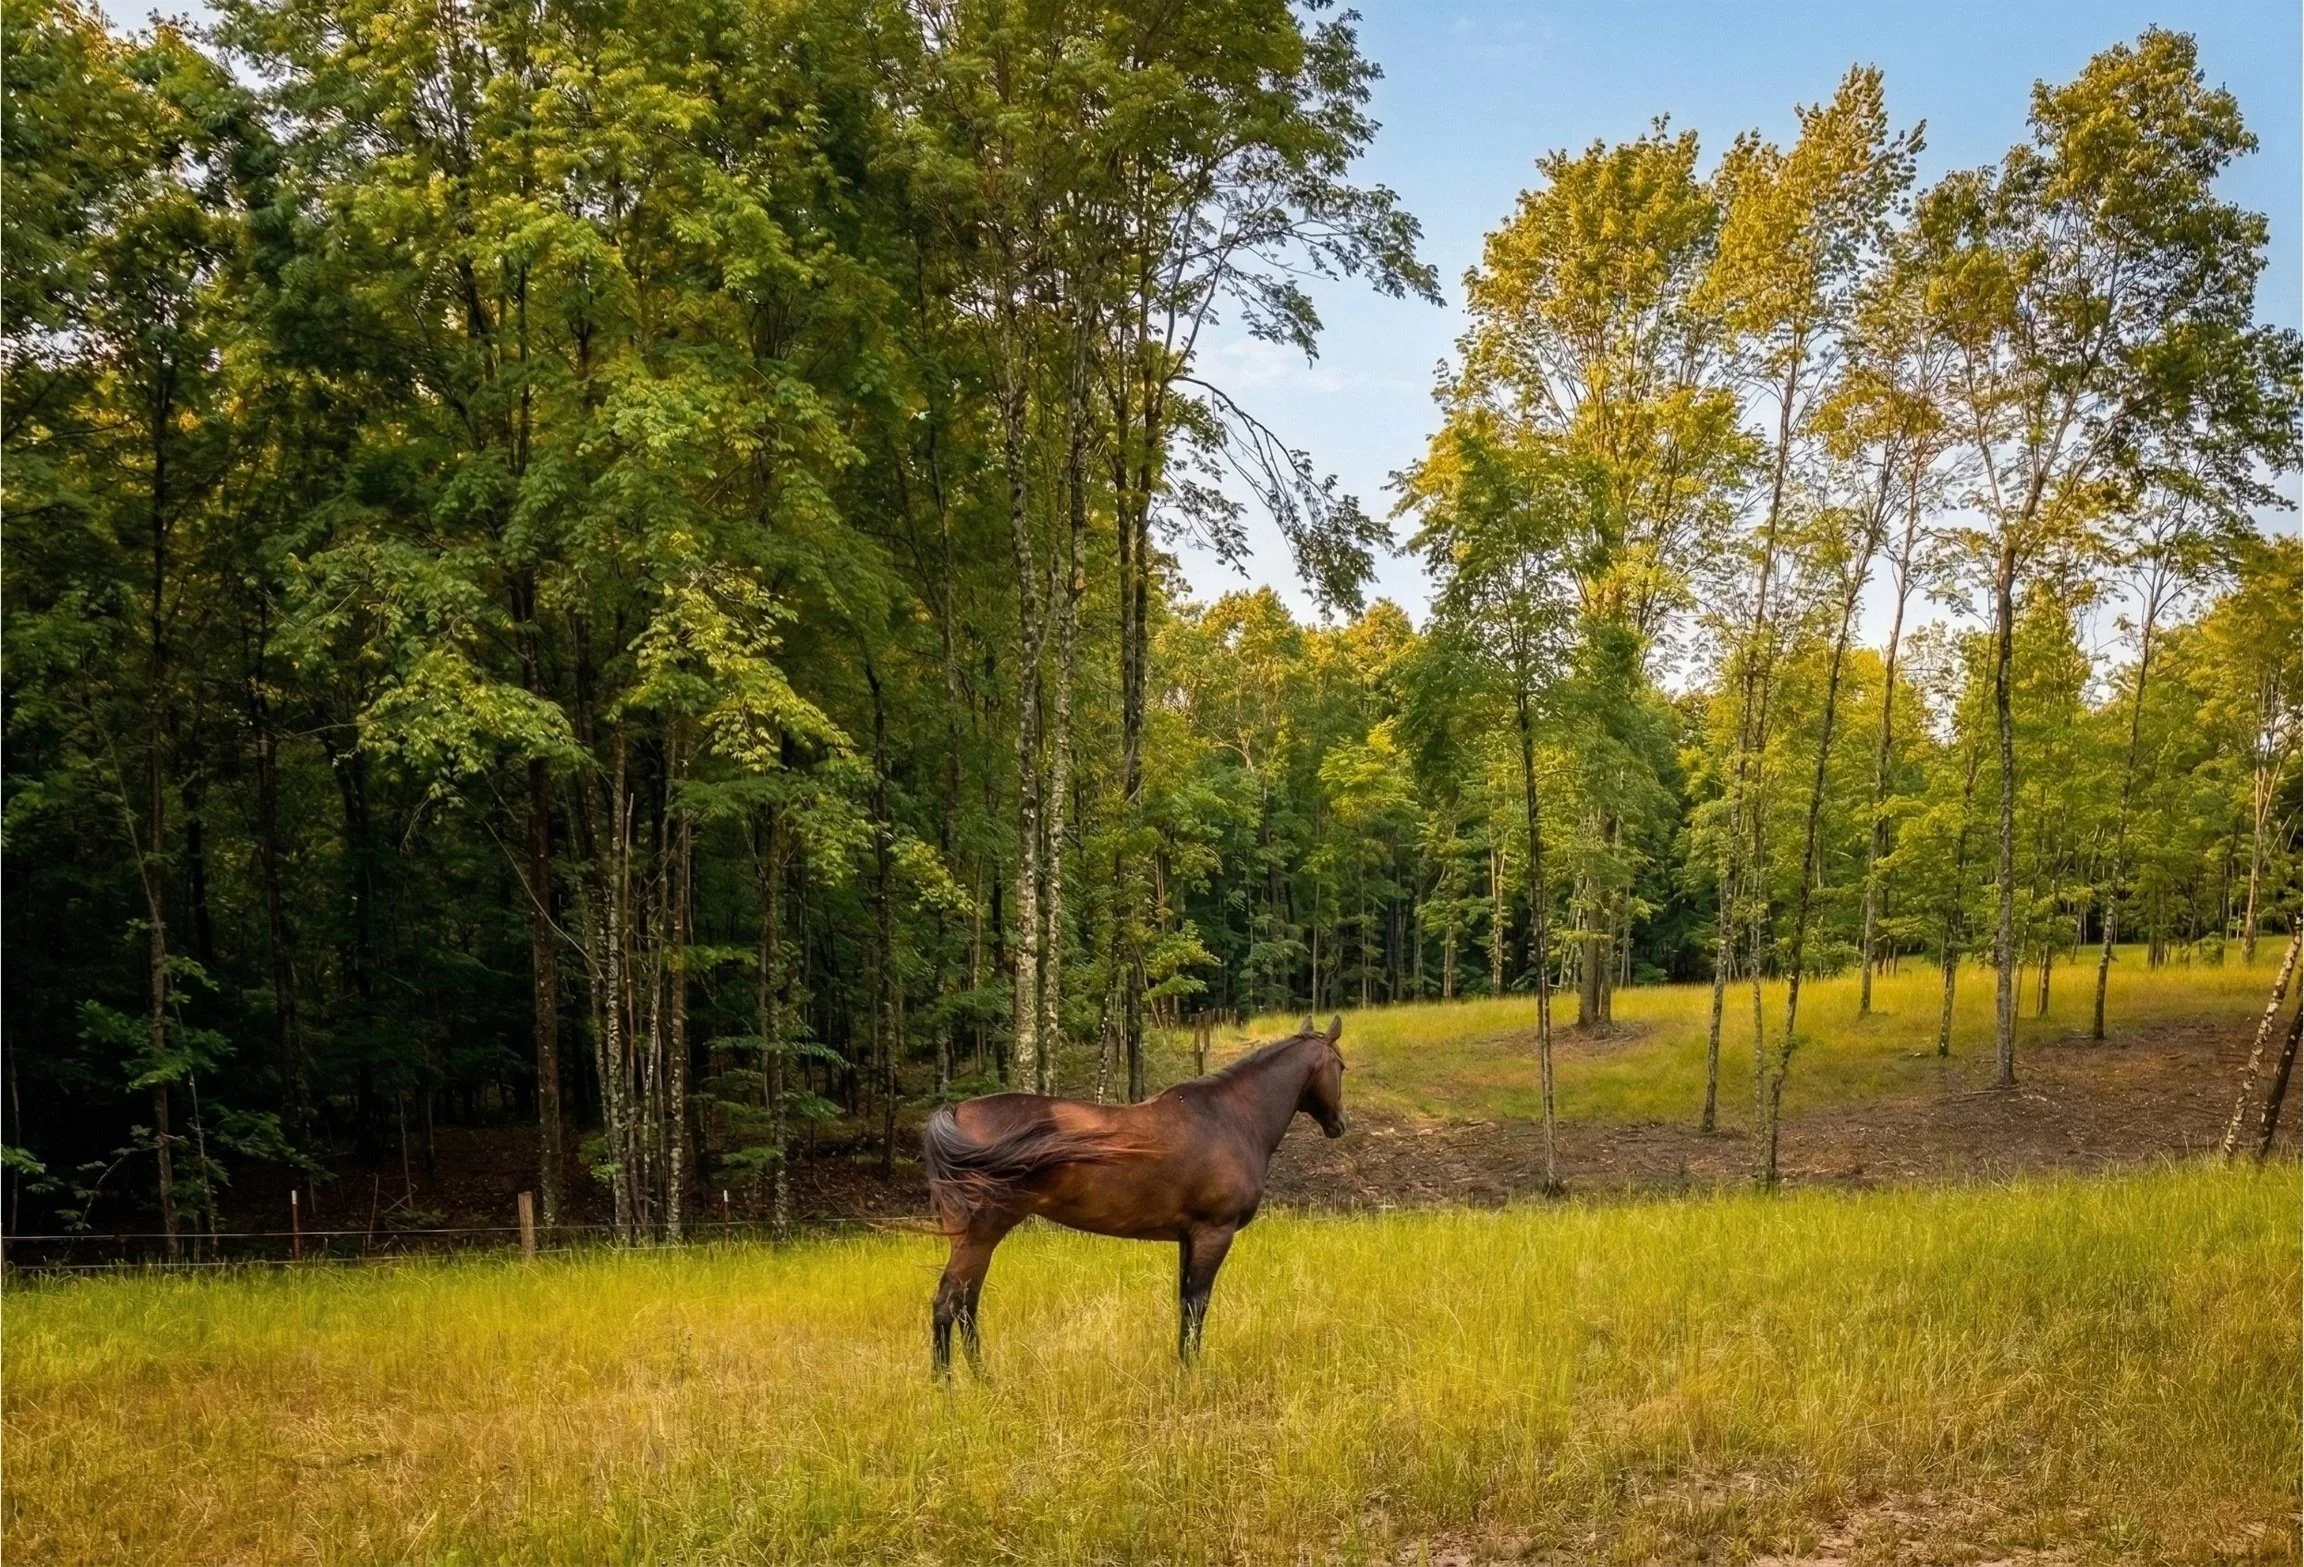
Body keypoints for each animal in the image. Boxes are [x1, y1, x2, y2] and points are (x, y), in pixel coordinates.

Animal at [920, 1014, 1348, 1376]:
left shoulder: (1188, 1237)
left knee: (966, 1306)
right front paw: (1192, 1375)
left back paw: (983, 1380)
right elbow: (1198, 1303)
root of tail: (956, 1112)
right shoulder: (1214, 1232)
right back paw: (948, 1393)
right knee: (948, 1305)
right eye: (1341, 1067)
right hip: (979, 1235)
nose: (1340, 1123)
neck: (1232, 1118)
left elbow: (1183, 1302)